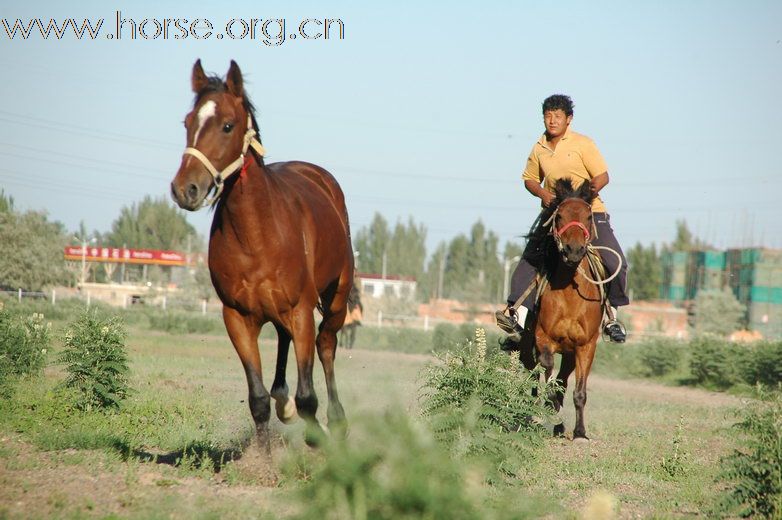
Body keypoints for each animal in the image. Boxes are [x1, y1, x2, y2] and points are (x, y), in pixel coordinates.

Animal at [173, 60, 356, 450]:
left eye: (227, 125)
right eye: (187, 122)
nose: (184, 188)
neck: (256, 235)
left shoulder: (301, 309)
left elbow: (308, 396)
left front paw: (317, 439)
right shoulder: (237, 316)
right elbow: (257, 400)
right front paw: (262, 459)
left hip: (336, 297)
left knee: (326, 344)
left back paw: (336, 420)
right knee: (286, 343)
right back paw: (283, 399)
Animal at [520, 179, 608, 438]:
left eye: (588, 216)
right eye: (559, 216)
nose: (573, 250)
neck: (570, 295)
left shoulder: (585, 346)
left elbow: (578, 392)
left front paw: (580, 433)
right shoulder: (543, 339)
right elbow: (547, 373)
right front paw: (549, 412)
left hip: (569, 353)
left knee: (562, 381)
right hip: (527, 348)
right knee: (533, 377)